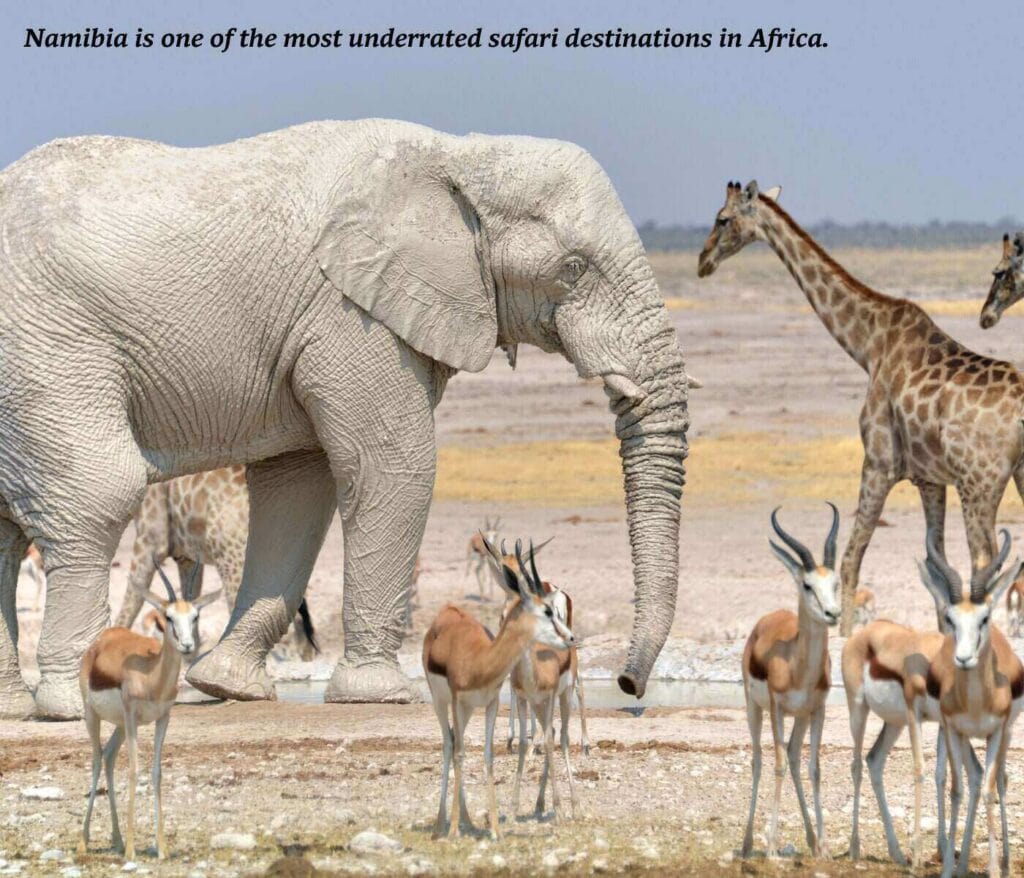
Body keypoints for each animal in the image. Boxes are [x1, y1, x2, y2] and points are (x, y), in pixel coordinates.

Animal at [114, 466, 318, 659]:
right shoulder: (186, 556)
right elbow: (190, 600)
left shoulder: (150, 539)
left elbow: (132, 601)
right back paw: (305, 654)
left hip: (233, 559)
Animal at [699, 181, 1024, 635]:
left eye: (722, 218)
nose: (702, 261)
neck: (868, 346)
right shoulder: (930, 479)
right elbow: (936, 567)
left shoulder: (878, 463)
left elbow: (852, 557)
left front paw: (845, 635)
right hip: (1010, 477)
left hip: (980, 484)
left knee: (986, 563)